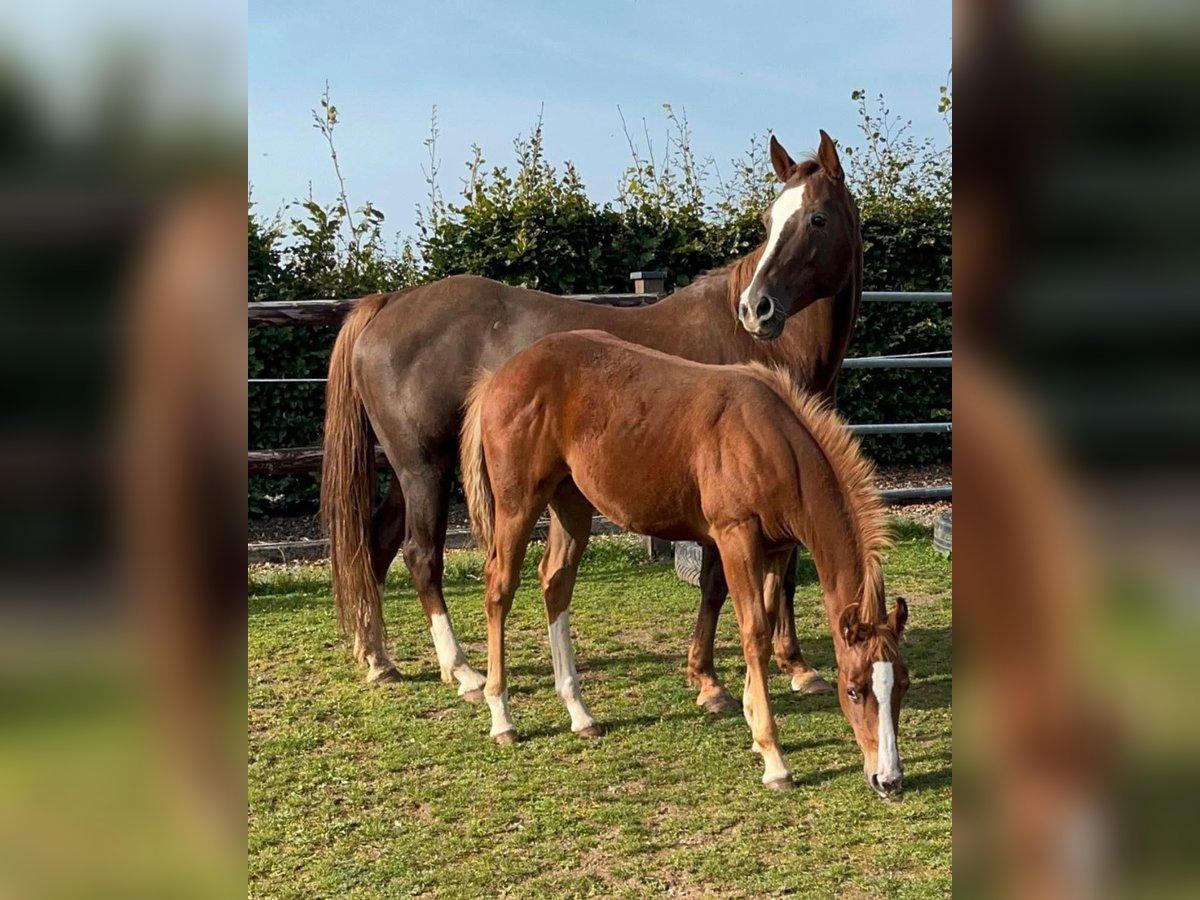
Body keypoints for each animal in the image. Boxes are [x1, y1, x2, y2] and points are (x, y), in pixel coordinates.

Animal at [321, 131, 862, 713]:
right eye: (769, 220)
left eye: (816, 219)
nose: (756, 308)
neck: (760, 349)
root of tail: (387, 303)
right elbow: (720, 583)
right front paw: (709, 678)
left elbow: (784, 576)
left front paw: (796, 666)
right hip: (424, 470)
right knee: (422, 556)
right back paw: (462, 671)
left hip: (414, 471)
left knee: (377, 544)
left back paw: (378, 658)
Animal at [459, 330, 909, 795]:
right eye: (854, 689)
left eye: (902, 685)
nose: (888, 780)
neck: (770, 442)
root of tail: (497, 377)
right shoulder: (735, 536)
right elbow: (754, 633)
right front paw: (773, 758)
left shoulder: (776, 547)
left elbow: (765, 619)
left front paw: (752, 723)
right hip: (517, 504)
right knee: (500, 586)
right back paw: (501, 717)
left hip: (571, 502)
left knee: (556, 583)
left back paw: (580, 713)